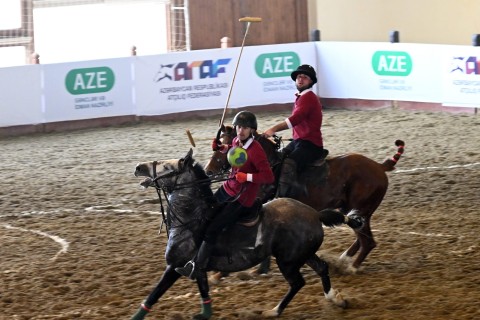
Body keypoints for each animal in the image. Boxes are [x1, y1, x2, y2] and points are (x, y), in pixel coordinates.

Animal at [129, 150, 362, 320]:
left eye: (167, 167)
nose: (139, 167)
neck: (190, 219)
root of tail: (315, 213)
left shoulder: (175, 266)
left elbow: (154, 295)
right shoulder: (199, 268)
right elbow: (203, 291)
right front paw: (205, 313)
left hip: (288, 261)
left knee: (297, 282)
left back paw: (274, 311)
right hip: (302, 255)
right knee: (321, 268)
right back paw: (335, 299)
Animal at [204, 125, 406, 272]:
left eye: (226, 147)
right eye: (221, 144)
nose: (208, 171)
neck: (269, 166)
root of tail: (380, 166)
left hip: (359, 208)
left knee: (368, 242)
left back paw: (351, 269)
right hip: (353, 210)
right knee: (362, 238)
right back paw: (343, 260)